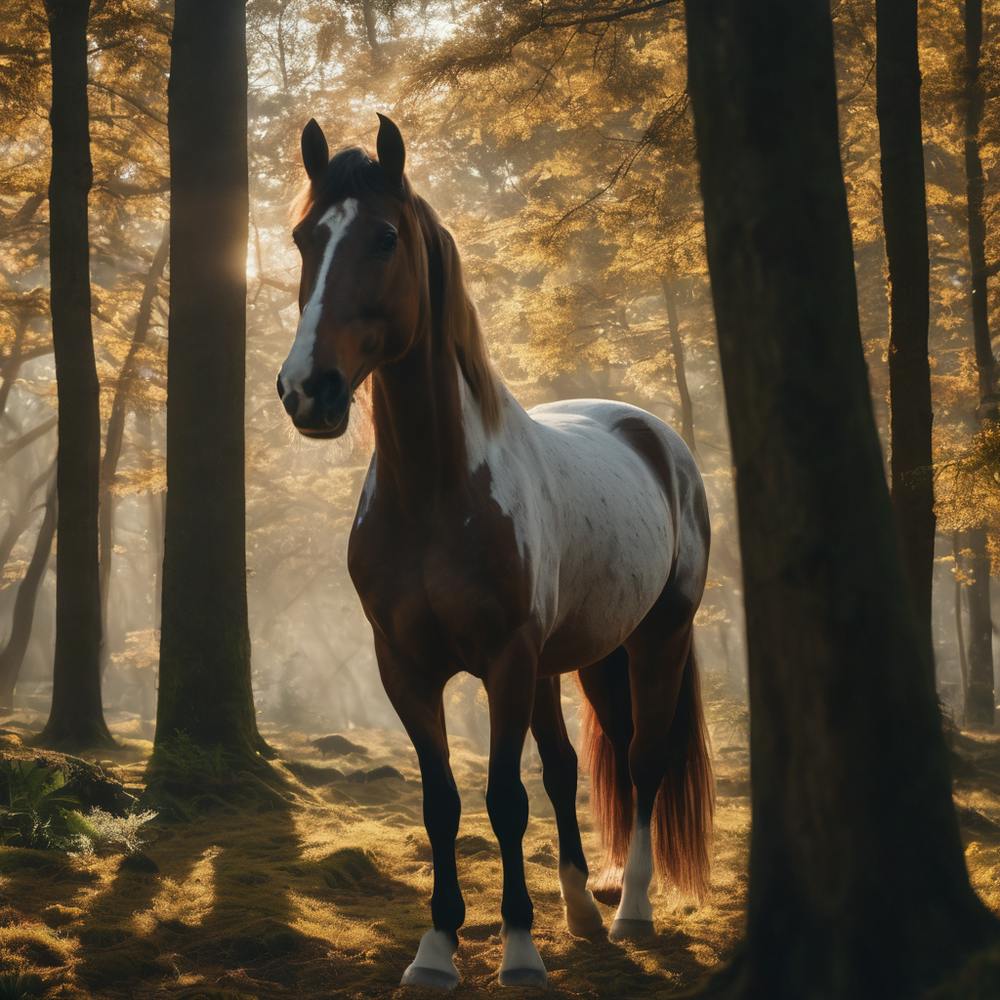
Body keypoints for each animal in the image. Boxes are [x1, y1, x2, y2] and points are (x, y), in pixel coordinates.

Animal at [277, 113, 714, 990]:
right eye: (306, 237)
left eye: (384, 237)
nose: (308, 389)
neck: (435, 494)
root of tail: (654, 435)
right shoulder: (405, 668)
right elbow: (444, 801)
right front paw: (436, 949)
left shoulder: (507, 660)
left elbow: (505, 798)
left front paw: (517, 950)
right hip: (583, 657)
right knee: (574, 764)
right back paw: (582, 912)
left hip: (657, 638)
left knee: (643, 762)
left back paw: (632, 911)